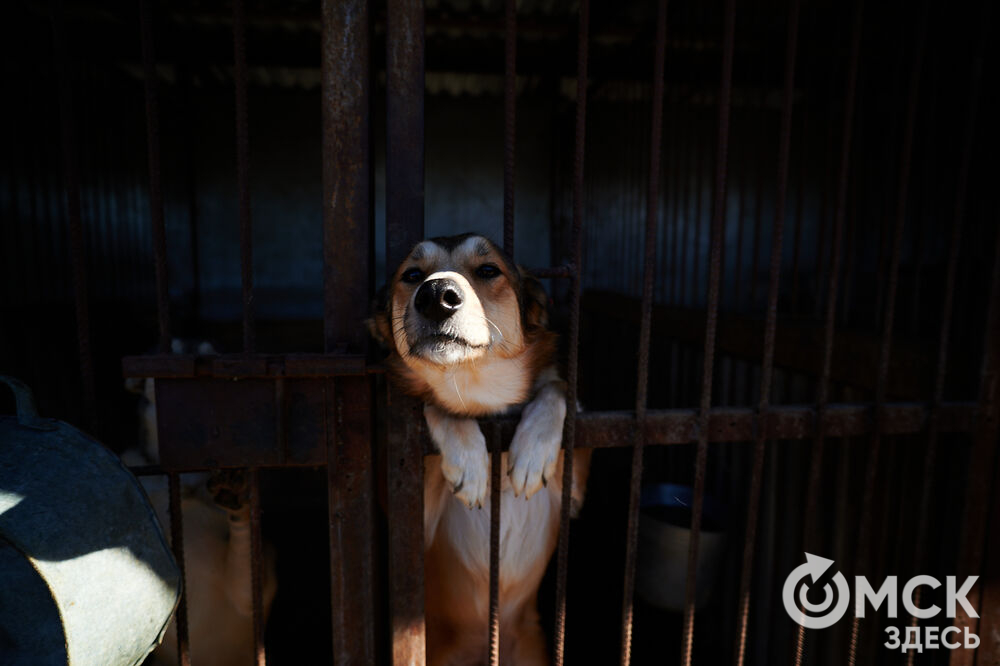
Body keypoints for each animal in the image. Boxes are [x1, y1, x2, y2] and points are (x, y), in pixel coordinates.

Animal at [370, 233, 588, 664]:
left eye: (488, 270)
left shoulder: (574, 492)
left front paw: (533, 451)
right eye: (412, 275)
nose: (436, 295)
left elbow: (557, 389)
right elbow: (439, 405)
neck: (477, 388)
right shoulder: (412, 516)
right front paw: (469, 465)